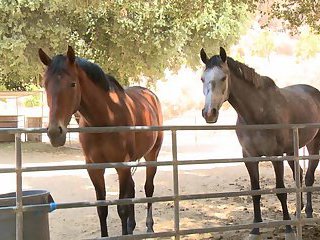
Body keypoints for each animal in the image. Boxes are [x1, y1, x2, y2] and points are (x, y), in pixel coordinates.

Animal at [38, 46, 164, 237]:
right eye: (45, 85)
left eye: (73, 84)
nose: (54, 132)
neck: (105, 119)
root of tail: (149, 95)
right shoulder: (94, 168)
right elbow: (102, 209)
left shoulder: (122, 166)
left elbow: (122, 208)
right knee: (132, 189)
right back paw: (131, 226)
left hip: (152, 156)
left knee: (148, 188)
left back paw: (149, 226)